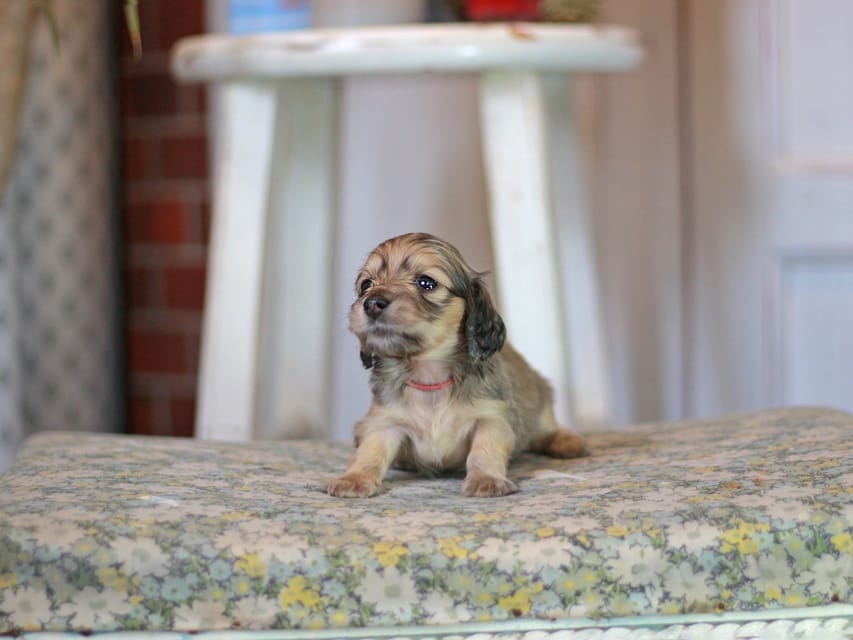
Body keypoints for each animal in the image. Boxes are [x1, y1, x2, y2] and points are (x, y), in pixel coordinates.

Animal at [326, 233, 588, 498]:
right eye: (366, 285)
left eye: (426, 283)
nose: (371, 303)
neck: (428, 375)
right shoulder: (384, 422)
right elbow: (370, 452)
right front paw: (353, 478)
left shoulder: (492, 417)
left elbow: (484, 450)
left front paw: (486, 479)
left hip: (541, 405)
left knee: (546, 431)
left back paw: (567, 442)